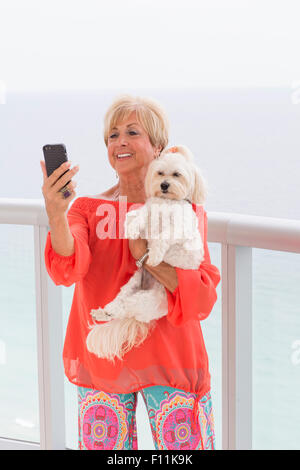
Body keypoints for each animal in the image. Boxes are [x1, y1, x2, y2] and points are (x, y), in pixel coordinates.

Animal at [85, 145, 207, 362]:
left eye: (176, 174)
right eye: (160, 173)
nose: (164, 185)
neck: (166, 202)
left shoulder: (179, 227)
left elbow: (163, 236)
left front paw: (156, 255)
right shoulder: (149, 211)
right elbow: (140, 216)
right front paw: (132, 229)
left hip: (147, 300)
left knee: (126, 307)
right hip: (132, 283)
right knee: (119, 302)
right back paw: (104, 312)